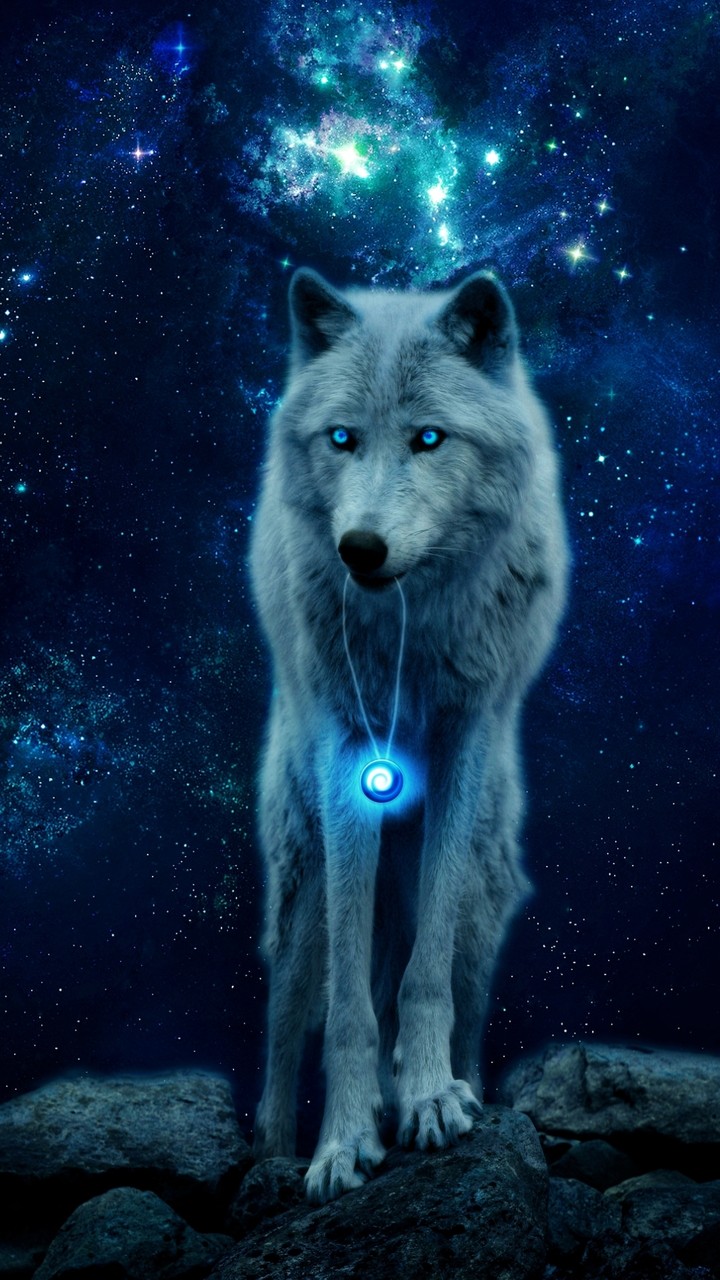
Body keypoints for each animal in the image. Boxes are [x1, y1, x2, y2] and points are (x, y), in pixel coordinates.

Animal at [249, 266, 569, 1204]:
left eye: (430, 438)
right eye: (342, 438)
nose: (360, 548)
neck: (407, 626)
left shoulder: (465, 737)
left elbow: (422, 984)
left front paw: (428, 1098)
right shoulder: (350, 754)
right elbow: (349, 1011)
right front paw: (341, 1143)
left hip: (486, 894)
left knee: (452, 987)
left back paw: (446, 1088)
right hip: (301, 879)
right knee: (287, 1020)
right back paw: (273, 1151)